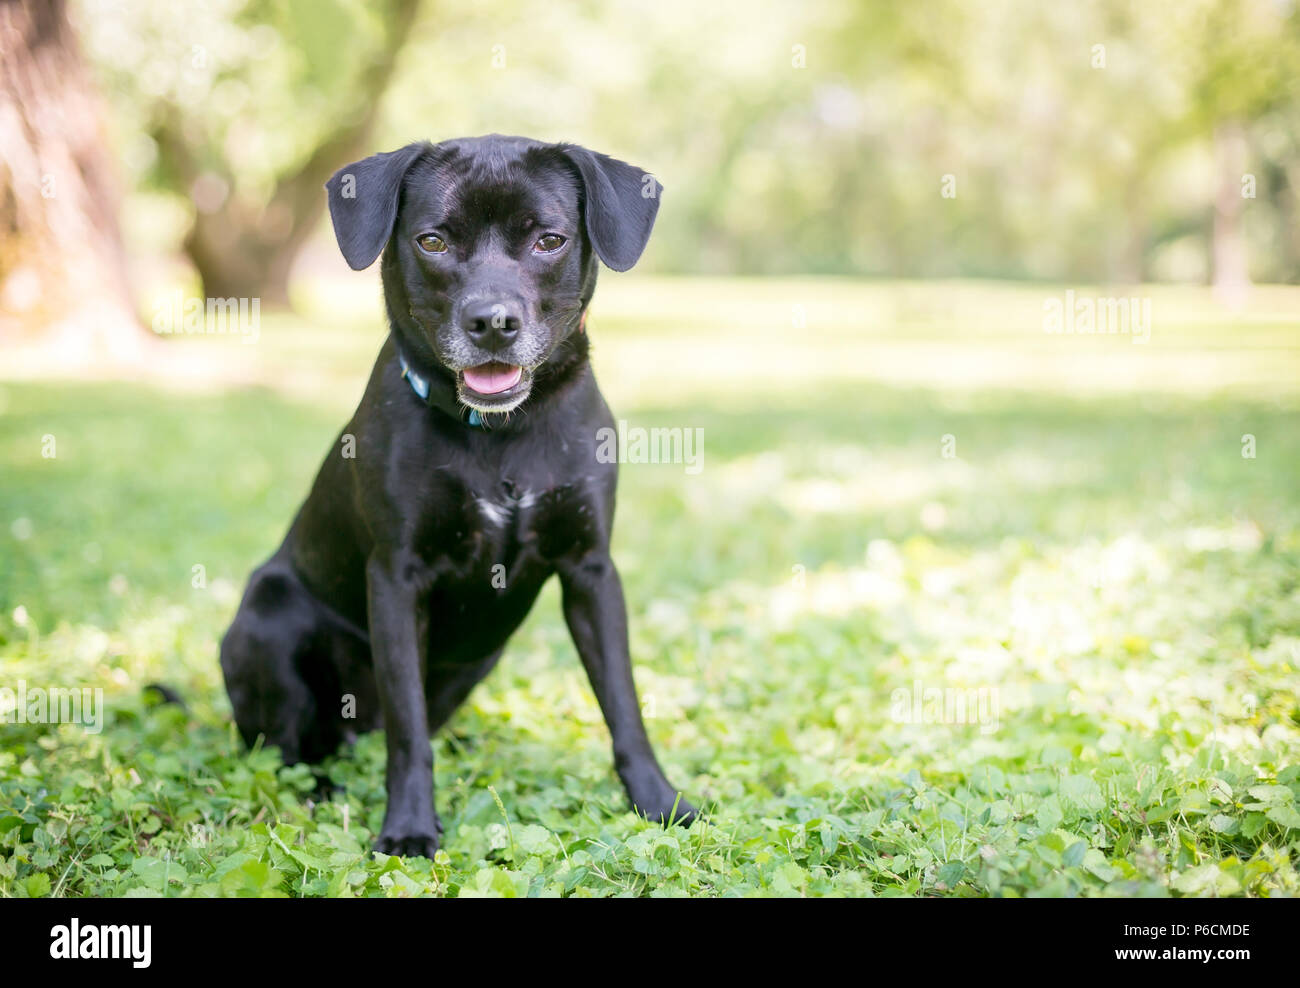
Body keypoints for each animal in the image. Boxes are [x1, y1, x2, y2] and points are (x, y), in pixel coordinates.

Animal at [218, 133, 696, 857]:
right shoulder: (396, 578)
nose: (493, 322)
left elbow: (624, 703)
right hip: (267, 620)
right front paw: (410, 828)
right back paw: (319, 792)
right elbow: (408, 730)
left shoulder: (590, 572)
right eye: (434, 241)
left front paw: (658, 801)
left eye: (549, 240)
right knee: (290, 748)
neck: (501, 433)